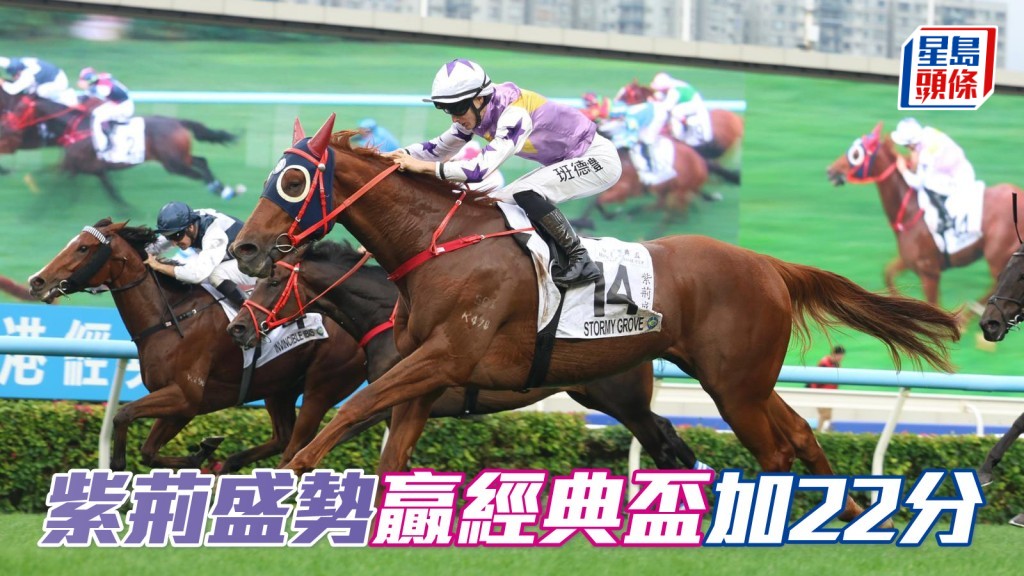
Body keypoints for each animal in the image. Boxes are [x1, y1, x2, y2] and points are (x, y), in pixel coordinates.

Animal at [1, 94, 241, 206]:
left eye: (20, 108)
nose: (7, 125)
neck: (76, 126)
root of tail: (178, 122)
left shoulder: (78, 164)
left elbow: (55, 175)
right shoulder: (85, 167)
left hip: (174, 163)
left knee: (198, 170)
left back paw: (220, 189)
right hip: (179, 158)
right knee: (201, 161)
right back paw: (223, 190)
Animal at [27, 219, 369, 473]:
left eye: (84, 247)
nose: (37, 281)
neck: (169, 318)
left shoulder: (185, 396)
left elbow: (123, 415)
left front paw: (119, 462)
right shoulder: (183, 404)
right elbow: (148, 451)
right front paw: (201, 452)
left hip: (323, 386)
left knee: (297, 446)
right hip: (280, 387)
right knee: (283, 437)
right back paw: (230, 463)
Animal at [225, 239, 701, 472]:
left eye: (272, 283)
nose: (238, 327)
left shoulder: (389, 397)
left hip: (620, 399)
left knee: (661, 438)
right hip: (604, 398)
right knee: (662, 436)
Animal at [827, 122, 1024, 314]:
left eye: (856, 153)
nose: (830, 171)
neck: (910, 210)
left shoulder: (929, 271)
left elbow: (933, 304)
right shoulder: (909, 261)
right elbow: (888, 273)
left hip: (997, 255)